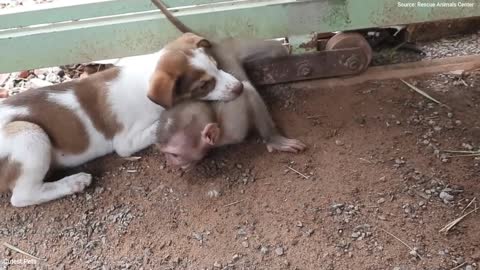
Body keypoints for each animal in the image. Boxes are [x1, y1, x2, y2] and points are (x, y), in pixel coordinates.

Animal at [0, 33, 242, 207]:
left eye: (216, 64)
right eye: (204, 85)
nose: (239, 87)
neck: (145, 77)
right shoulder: (125, 142)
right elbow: (158, 126)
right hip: (29, 134)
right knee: (22, 196)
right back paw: (74, 182)